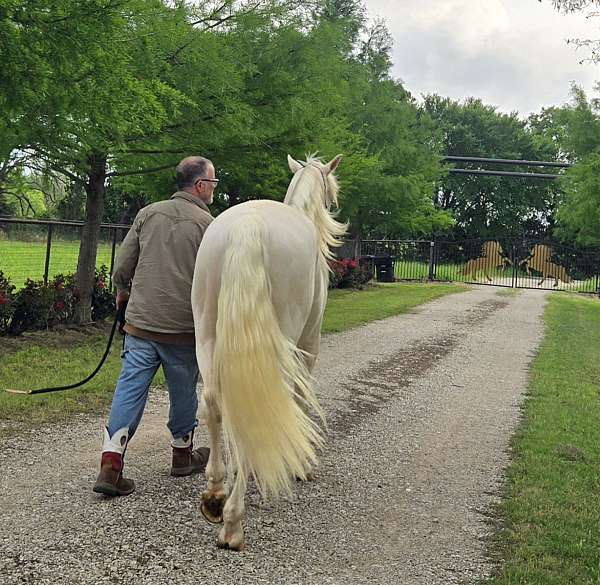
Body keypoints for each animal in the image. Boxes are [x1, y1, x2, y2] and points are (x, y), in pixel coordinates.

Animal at [190, 153, 344, 548]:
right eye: (331, 193)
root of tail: (248, 226)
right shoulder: (307, 345)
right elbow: (297, 397)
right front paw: (303, 466)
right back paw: (233, 523)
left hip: (206, 335)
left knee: (214, 402)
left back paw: (215, 496)